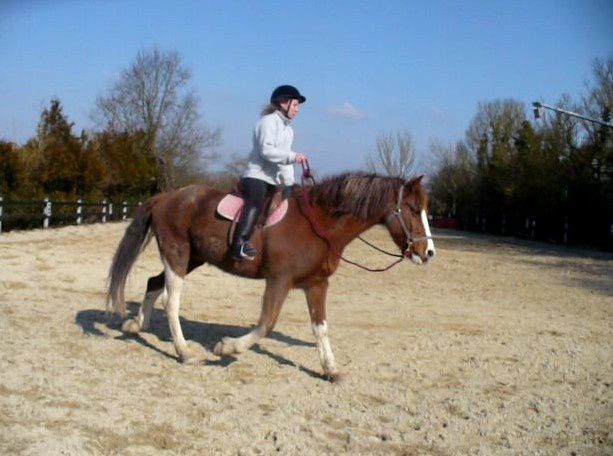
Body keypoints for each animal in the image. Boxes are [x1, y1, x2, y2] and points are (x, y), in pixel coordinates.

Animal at [105, 171, 436, 382]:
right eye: (412, 209)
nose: (429, 252)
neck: (320, 225)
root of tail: (166, 197)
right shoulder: (279, 281)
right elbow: (266, 323)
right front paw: (228, 347)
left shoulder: (317, 284)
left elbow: (320, 328)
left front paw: (331, 369)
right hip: (178, 256)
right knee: (171, 301)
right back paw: (184, 351)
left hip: (191, 260)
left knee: (153, 283)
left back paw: (136, 325)